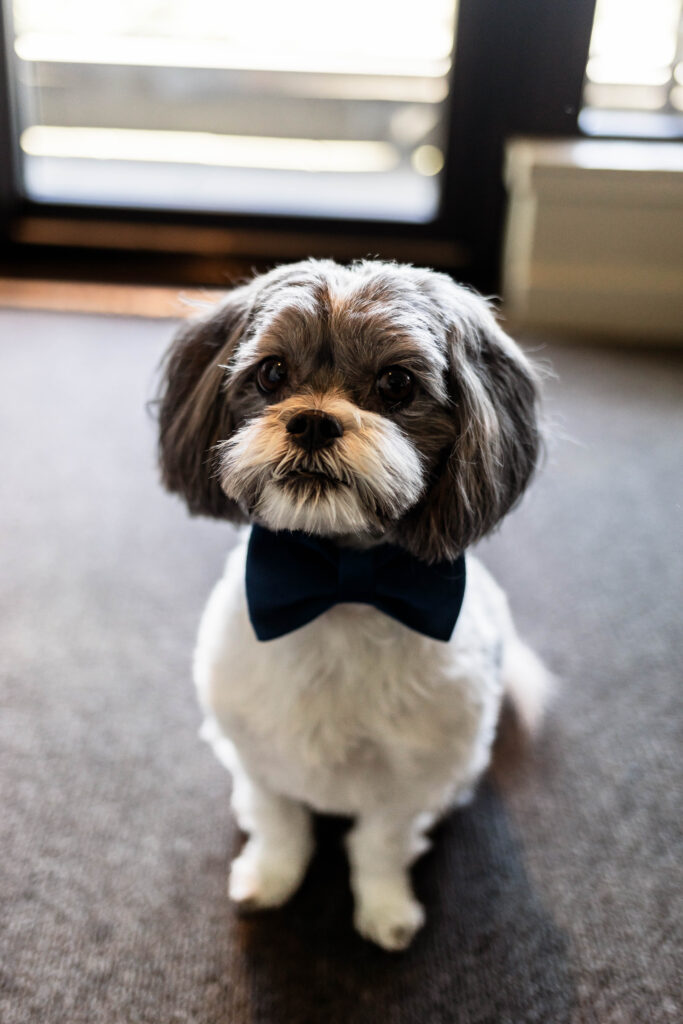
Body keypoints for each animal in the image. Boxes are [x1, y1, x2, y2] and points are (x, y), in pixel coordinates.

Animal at [156, 256, 548, 950]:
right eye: (272, 372)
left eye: (396, 383)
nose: (312, 419)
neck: (340, 586)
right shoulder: (257, 751)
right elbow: (281, 823)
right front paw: (268, 878)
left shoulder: (408, 778)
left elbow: (380, 846)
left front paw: (387, 912)